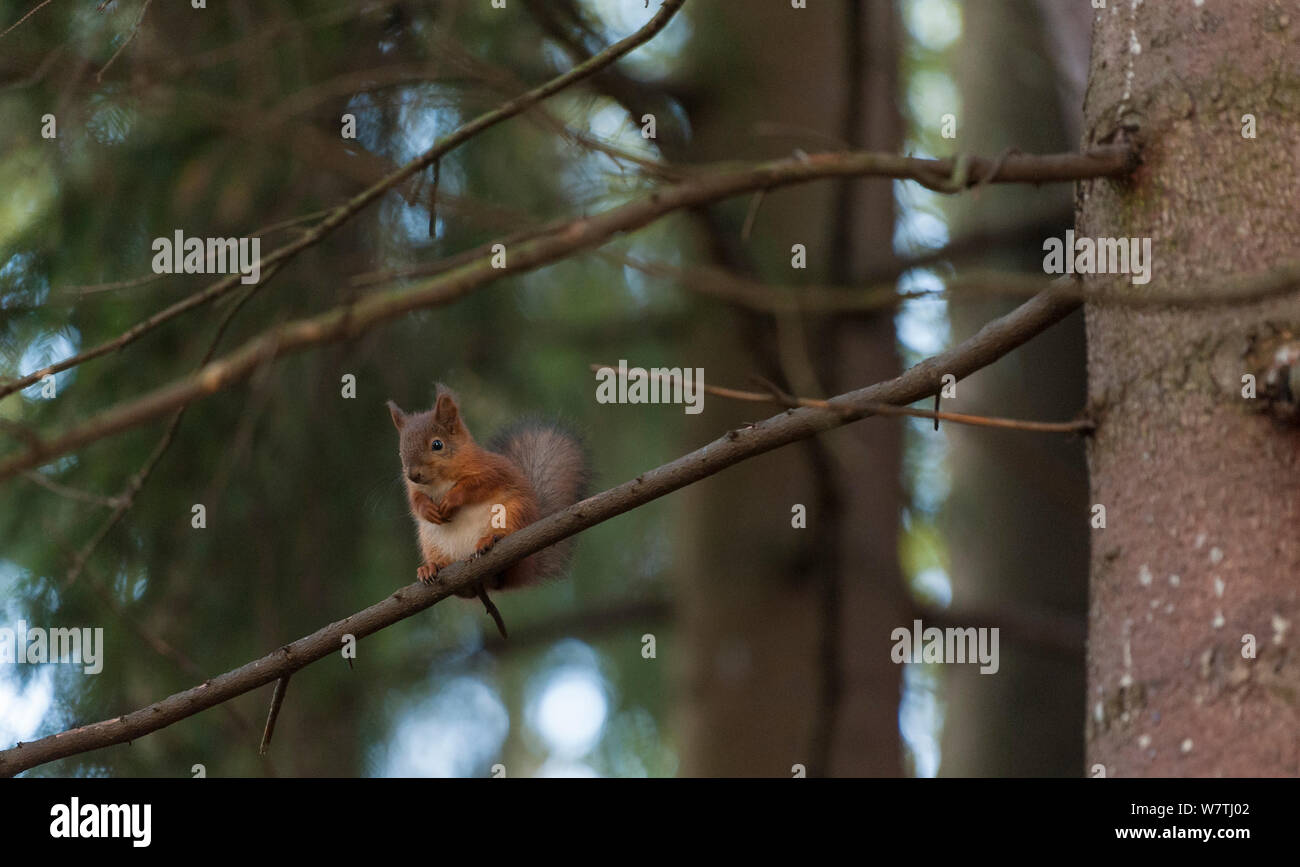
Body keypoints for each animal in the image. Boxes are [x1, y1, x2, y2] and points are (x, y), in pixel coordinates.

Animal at [384, 384, 590, 616]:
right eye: (400, 450)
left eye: (437, 444)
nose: (413, 474)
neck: (439, 481)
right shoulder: (413, 489)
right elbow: (416, 501)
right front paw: (428, 509)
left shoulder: (491, 471)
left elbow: (475, 486)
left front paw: (451, 500)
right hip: (431, 542)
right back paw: (431, 567)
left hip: (512, 512)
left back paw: (491, 540)